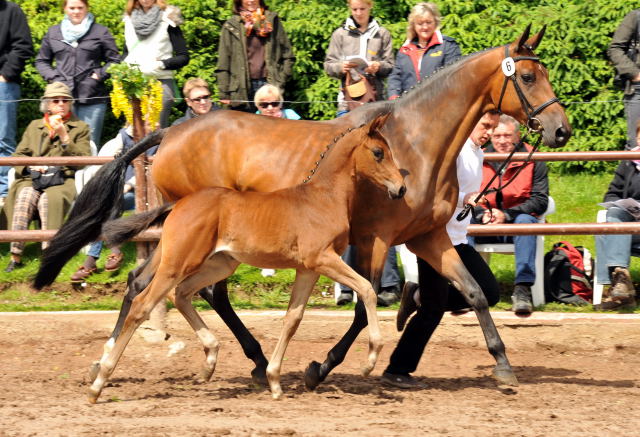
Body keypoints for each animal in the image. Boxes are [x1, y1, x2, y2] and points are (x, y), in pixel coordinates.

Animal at [87, 113, 404, 402]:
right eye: (378, 152)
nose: (400, 188)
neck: (323, 198)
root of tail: (176, 204)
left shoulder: (308, 269)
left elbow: (293, 318)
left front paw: (275, 380)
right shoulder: (322, 259)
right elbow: (367, 289)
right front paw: (371, 359)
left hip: (217, 263)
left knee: (181, 293)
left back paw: (210, 361)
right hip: (179, 262)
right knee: (145, 303)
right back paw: (99, 382)